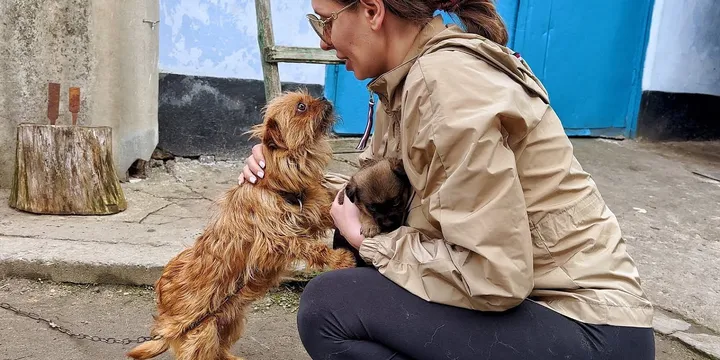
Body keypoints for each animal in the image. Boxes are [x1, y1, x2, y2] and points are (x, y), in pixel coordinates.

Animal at [128, 90, 358, 360]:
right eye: (301, 107)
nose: (323, 97)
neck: (275, 185)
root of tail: (166, 319)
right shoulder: (277, 240)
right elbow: (310, 247)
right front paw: (340, 259)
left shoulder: (309, 213)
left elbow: (327, 214)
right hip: (201, 332)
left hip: (230, 319)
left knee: (220, 348)